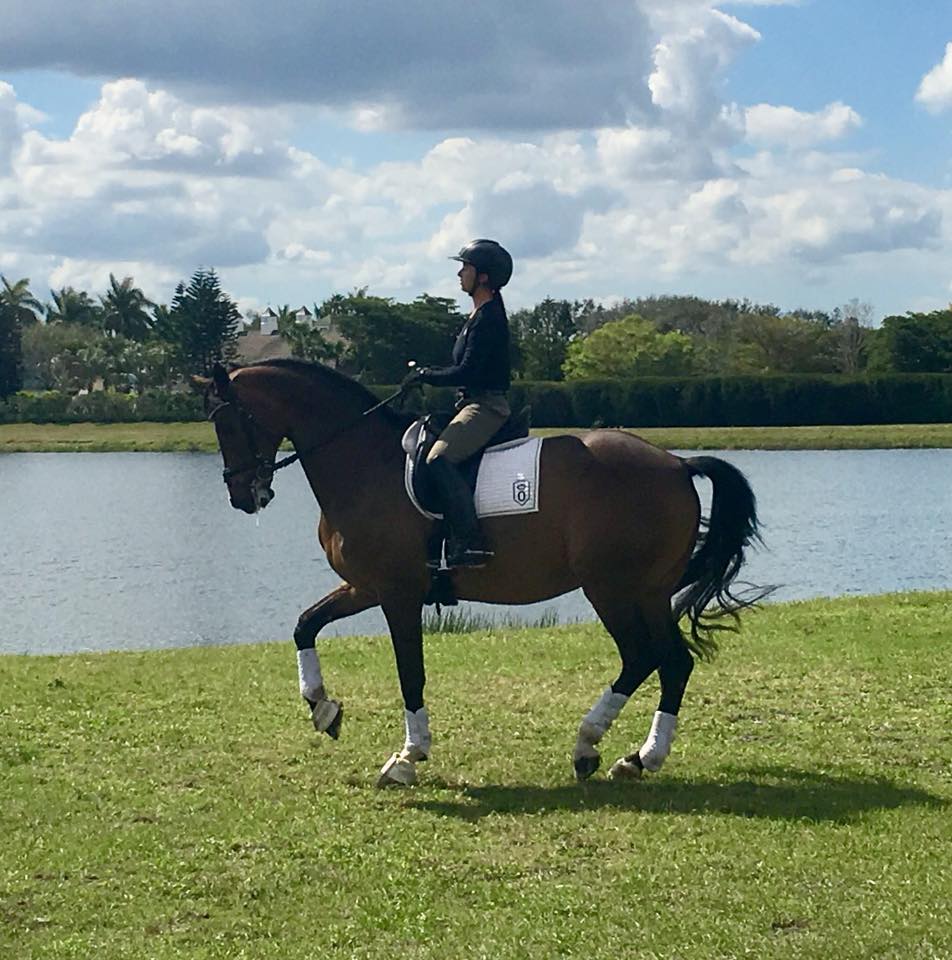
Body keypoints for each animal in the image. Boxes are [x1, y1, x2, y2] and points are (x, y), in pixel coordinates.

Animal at [195, 360, 768, 788]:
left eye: (228, 422)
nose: (242, 495)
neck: (364, 464)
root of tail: (677, 464)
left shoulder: (399, 594)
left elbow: (410, 673)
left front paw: (406, 758)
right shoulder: (365, 586)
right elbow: (305, 624)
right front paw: (322, 707)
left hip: (613, 588)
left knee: (649, 657)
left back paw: (607, 748)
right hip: (645, 592)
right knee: (668, 662)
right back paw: (625, 755)